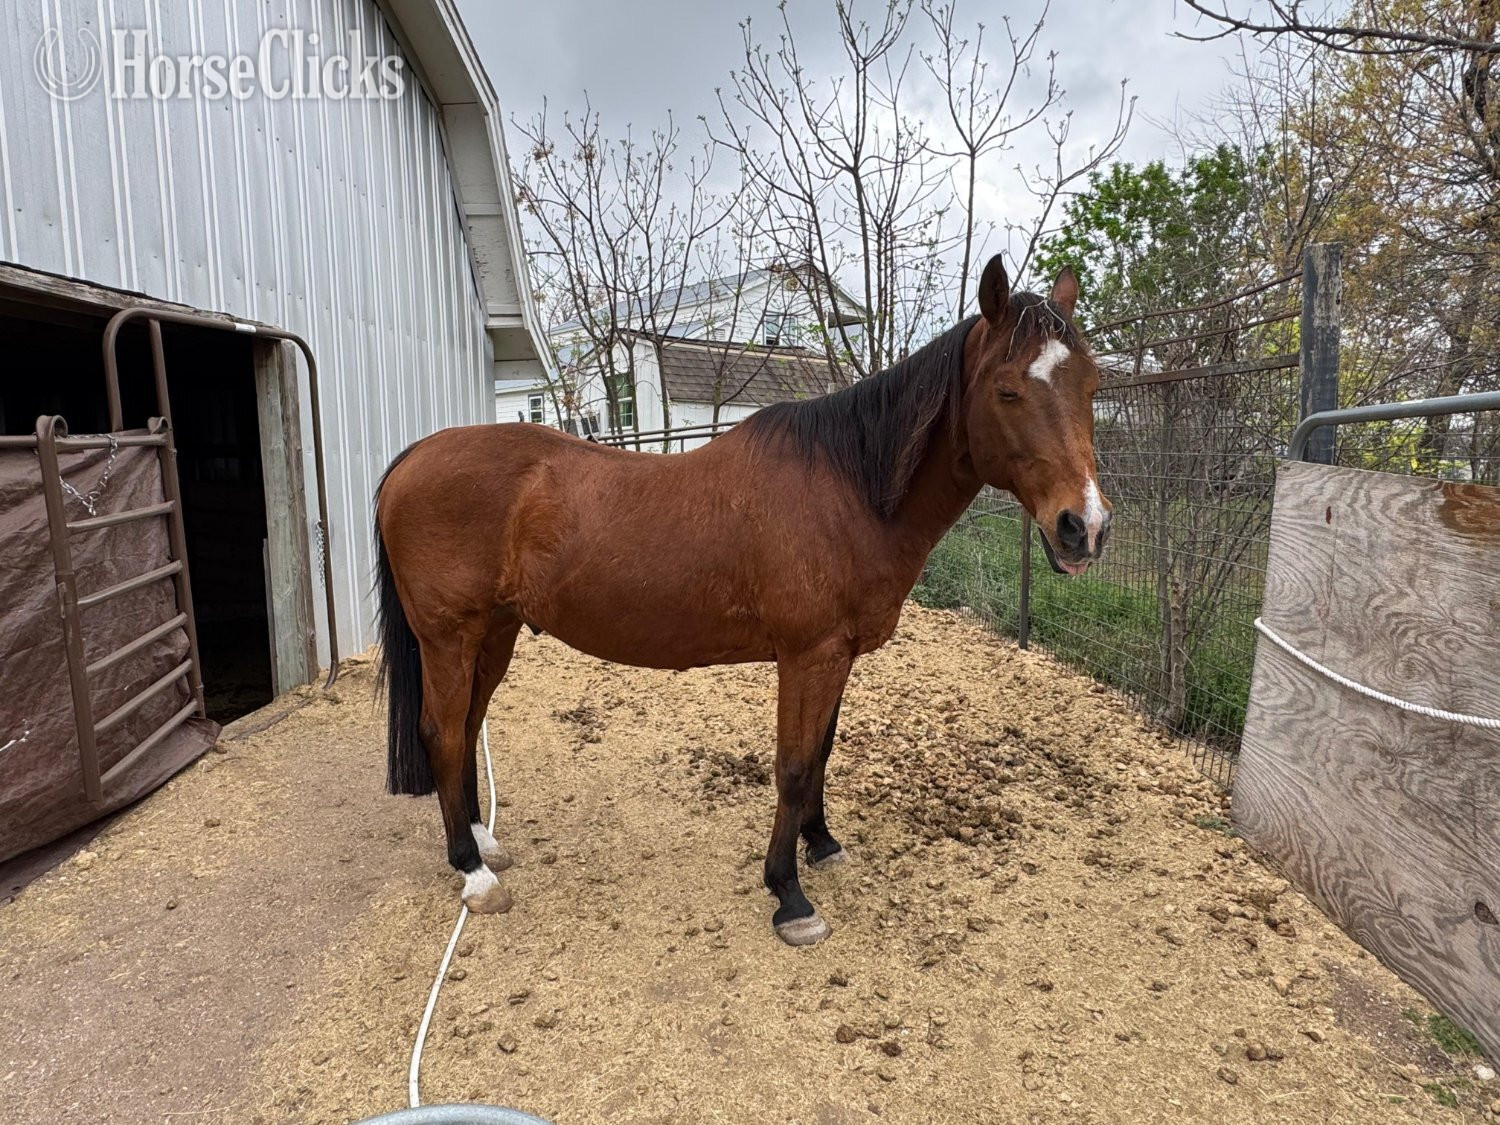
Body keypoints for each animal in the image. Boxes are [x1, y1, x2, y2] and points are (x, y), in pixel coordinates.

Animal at [373, 256, 1111, 946]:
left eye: (1092, 384)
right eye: (1008, 390)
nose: (1085, 527)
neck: (848, 487)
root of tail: (411, 457)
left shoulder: (838, 655)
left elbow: (821, 753)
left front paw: (822, 844)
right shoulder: (808, 655)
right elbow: (793, 765)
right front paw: (789, 895)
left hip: (493, 633)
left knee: (467, 725)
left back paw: (482, 840)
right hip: (448, 637)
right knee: (442, 732)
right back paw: (472, 871)